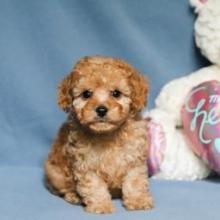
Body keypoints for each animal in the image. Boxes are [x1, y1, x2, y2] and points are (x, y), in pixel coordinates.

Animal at [45, 55, 153, 214]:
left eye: (116, 93)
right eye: (86, 94)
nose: (101, 110)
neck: (108, 134)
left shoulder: (134, 159)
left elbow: (135, 181)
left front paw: (138, 201)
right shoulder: (86, 164)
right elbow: (94, 186)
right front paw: (101, 205)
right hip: (55, 172)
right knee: (63, 189)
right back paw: (73, 196)